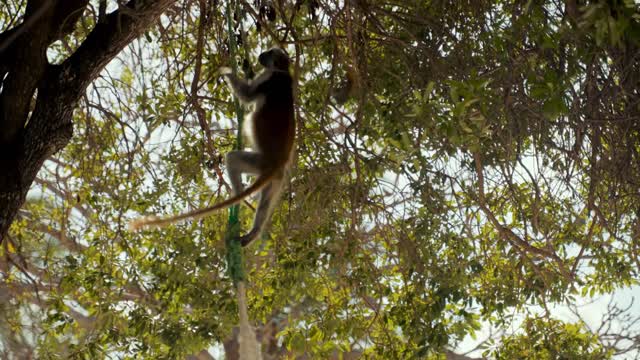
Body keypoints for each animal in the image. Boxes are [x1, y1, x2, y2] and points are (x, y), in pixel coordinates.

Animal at [130, 47, 296, 248]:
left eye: (269, 52)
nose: (261, 55)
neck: (284, 72)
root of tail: (277, 163)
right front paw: (246, 67)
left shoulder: (269, 77)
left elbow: (247, 94)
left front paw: (225, 70)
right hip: (277, 179)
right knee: (266, 202)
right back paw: (254, 232)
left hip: (260, 162)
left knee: (232, 158)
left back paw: (237, 195)